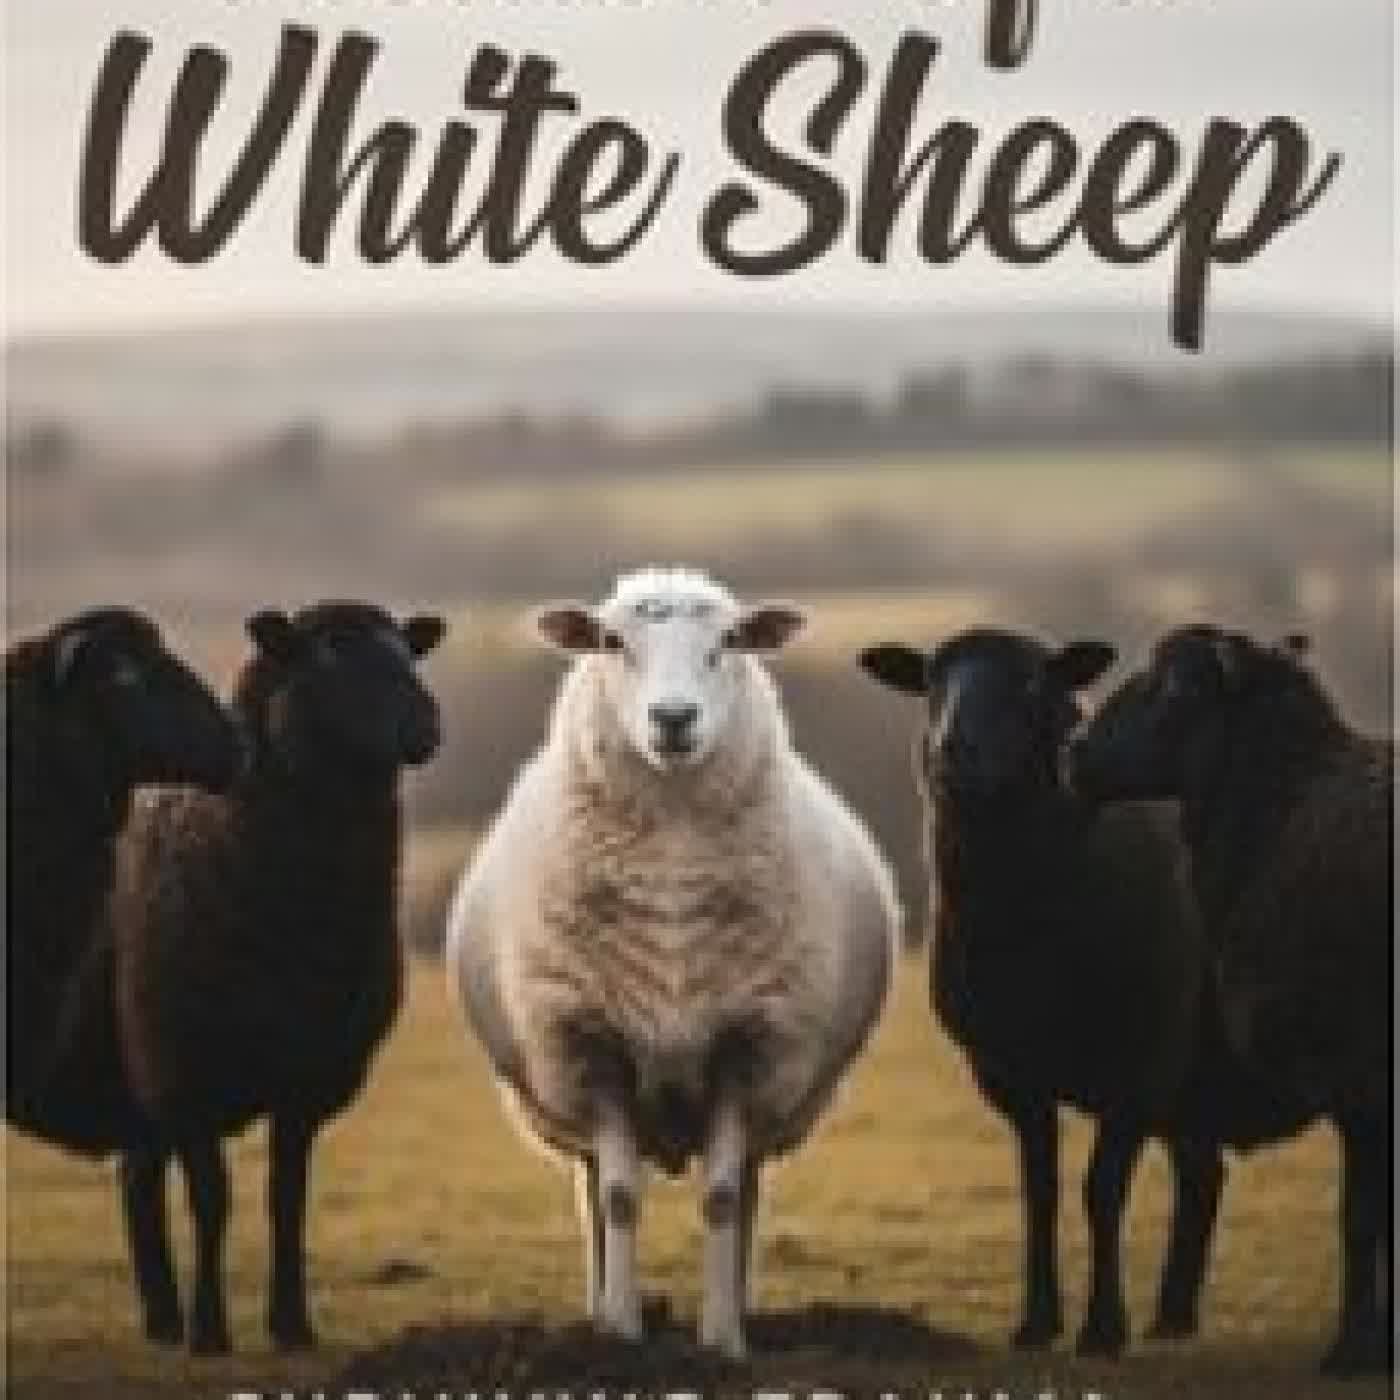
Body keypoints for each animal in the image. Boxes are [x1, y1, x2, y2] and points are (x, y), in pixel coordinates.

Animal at [102, 601, 446, 1354]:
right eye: (326, 655)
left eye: (408, 651)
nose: (425, 722)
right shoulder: (186, 1070)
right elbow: (213, 1200)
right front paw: (210, 1331)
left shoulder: (308, 1078)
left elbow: (287, 1199)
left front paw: (291, 1324)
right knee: (142, 1177)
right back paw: (170, 1320)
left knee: (137, 1174)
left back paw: (160, 1316)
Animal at [447, 567, 899, 1359]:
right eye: (610, 641)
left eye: (730, 641)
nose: (674, 719)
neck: (672, 873)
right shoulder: (591, 1044)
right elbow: (619, 1197)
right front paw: (624, 1333)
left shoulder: (748, 1047)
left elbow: (722, 1199)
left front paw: (722, 1339)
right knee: (593, 1191)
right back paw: (597, 1313)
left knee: (746, 1189)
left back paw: (741, 1306)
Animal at [860, 627, 1247, 1358]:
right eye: (931, 683)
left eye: (1033, 683)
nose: (955, 751)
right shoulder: (1012, 1072)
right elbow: (1039, 1192)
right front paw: (1037, 1323)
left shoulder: (1138, 1064)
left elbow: (1101, 1190)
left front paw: (1102, 1328)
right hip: (1189, 1077)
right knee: (1203, 1169)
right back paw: (1174, 1316)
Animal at [1065, 624, 1393, 1377]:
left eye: (1177, 687)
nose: (1075, 752)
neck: (1283, 809)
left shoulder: (1354, 1070)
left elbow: (1363, 1217)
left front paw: (1353, 1352)